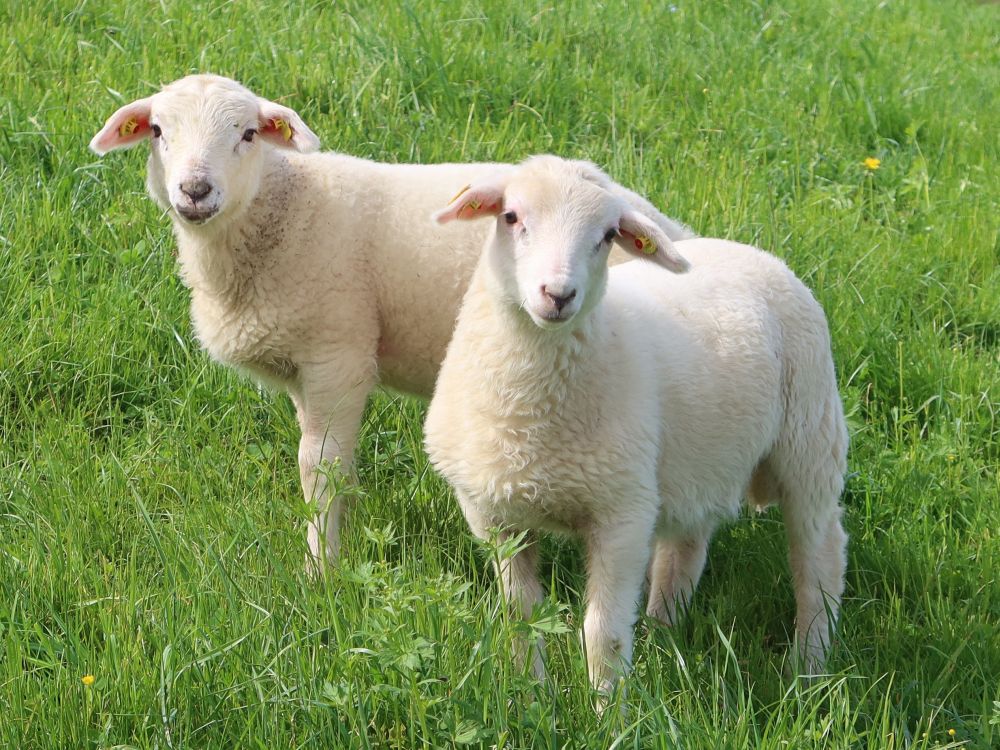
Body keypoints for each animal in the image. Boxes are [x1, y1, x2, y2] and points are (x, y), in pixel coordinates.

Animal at [89, 75, 696, 573]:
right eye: (158, 131)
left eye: (248, 134)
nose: (194, 191)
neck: (282, 209)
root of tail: (667, 229)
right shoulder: (304, 368)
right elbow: (330, 464)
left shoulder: (340, 353)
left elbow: (319, 465)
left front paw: (321, 570)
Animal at [423, 155, 848, 697]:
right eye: (511, 216)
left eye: (607, 235)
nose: (558, 294)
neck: (529, 417)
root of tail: (749, 251)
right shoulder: (495, 516)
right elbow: (521, 617)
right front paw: (532, 694)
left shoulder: (621, 514)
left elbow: (602, 634)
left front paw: (607, 709)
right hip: (698, 461)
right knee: (685, 548)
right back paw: (665, 636)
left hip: (810, 438)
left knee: (819, 557)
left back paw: (807, 670)